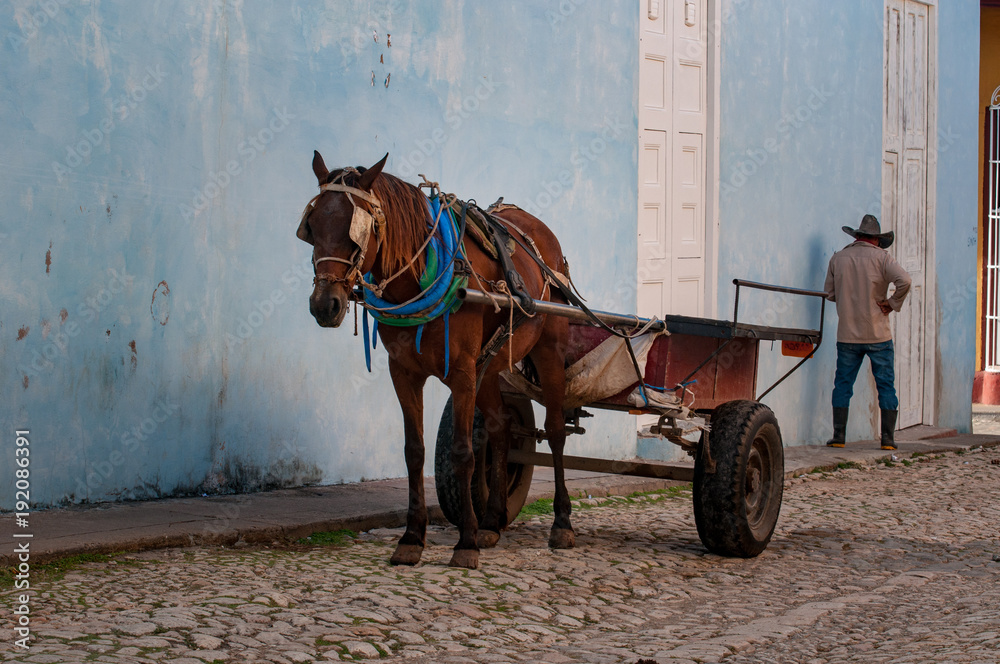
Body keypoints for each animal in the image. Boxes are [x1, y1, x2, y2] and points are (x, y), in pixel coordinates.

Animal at [298, 153, 572, 568]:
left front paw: (466, 544)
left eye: (359, 229)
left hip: (548, 352)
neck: (418, 281)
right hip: (489, 368)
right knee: (501, 428)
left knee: (556, 432)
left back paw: (561, 523)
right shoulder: (404, 372)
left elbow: (462, 453)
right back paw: (492, 521)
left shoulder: (461, 373)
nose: (324, 305)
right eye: (311, 228)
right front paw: (412, 538)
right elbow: (414, 451)